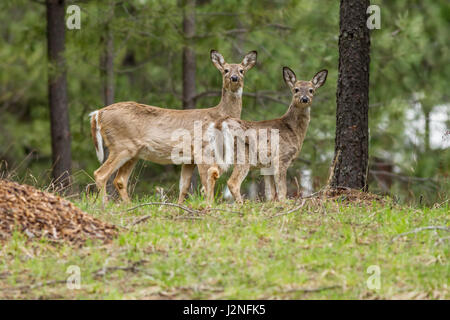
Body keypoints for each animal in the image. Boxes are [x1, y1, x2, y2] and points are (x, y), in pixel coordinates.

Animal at [89, 50, 256, 205]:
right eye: (225, 70)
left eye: (241, 70)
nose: (234, 78)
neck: (218, 116)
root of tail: (98, 113)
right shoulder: (202, 150)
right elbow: (207, 182)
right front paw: (208, 205)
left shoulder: (189, 159)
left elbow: (184, 186)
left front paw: (180, 206)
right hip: (122, 145)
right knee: (101, 174)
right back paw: (105, 204)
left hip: (134, 152)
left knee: (120, 180)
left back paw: (127, 205)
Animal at [204, 67, 326, 202]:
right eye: (296, 89)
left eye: (311, 90)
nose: (304, 99)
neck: (293, 129)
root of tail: (220, 124)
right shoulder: (281, 157)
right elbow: (282, 191)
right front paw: (283, 204)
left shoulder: (267, 166)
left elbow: (270, 193)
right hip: (242, 154)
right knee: (232, 182)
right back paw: (241, 203)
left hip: (220, 152)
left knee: (211, 172)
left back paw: (209, 203)